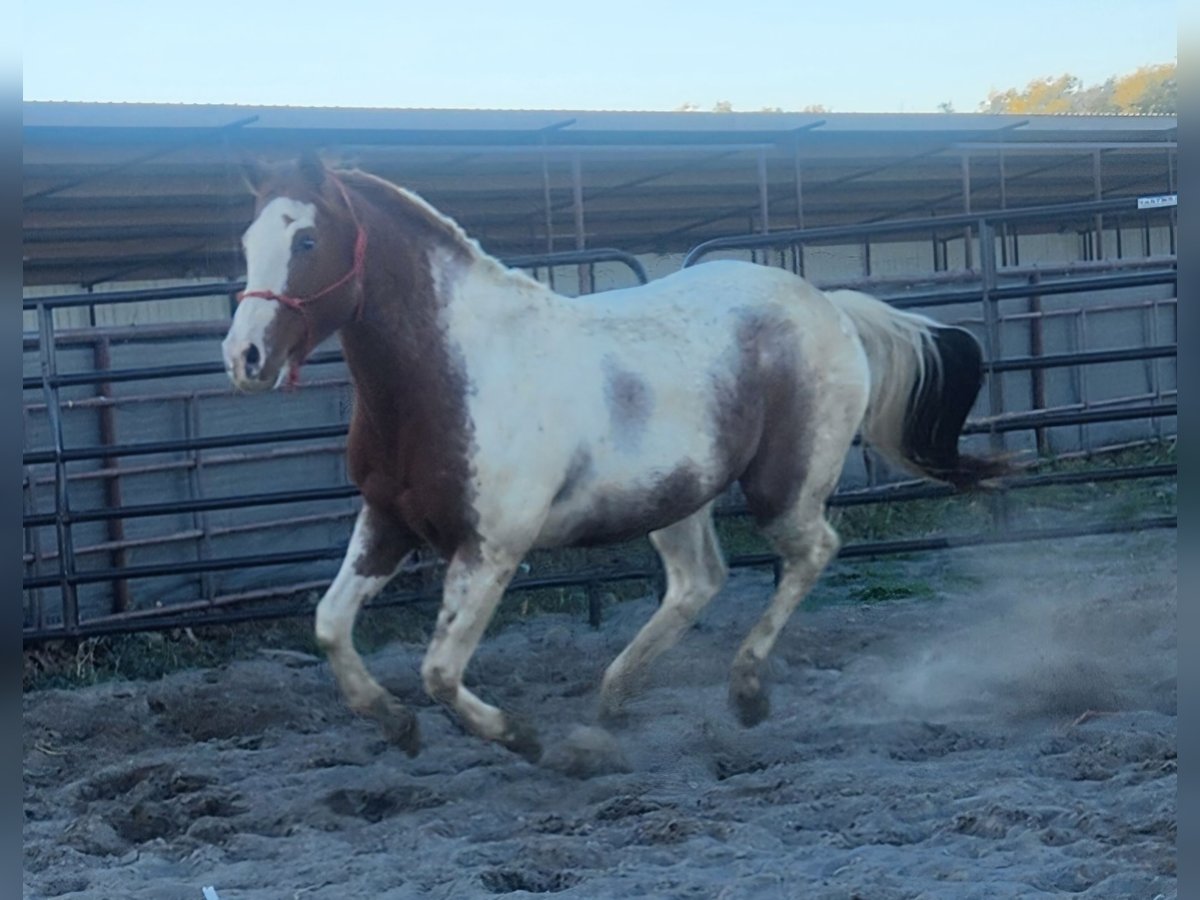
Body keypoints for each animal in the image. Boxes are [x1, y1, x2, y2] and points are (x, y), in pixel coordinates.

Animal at [220, 157, 1008, 768]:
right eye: (249, 239)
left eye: (308, 238)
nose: (245, 358)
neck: (453, 374)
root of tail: (831, 305)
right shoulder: (388, 522)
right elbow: (330, 625)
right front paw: (397, 725)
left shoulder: (492, 549)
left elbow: (440, 671)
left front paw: (527, 740)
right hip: (679, 497)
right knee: (697, 583)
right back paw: (612, 699)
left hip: (782, 487)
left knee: (812, 552)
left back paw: (745, 692)